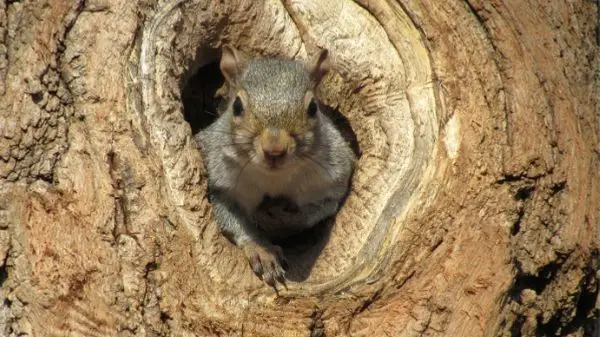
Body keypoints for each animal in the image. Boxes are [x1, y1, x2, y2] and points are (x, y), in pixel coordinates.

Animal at [197, 46, 356, 288]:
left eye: (313, 108)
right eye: (236, 106)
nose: (274, 149)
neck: (274, 178)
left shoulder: (333, 180)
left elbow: (322, 209)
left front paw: (280, 219)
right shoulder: (222, 185)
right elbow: (231, 218)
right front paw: (262, 251)